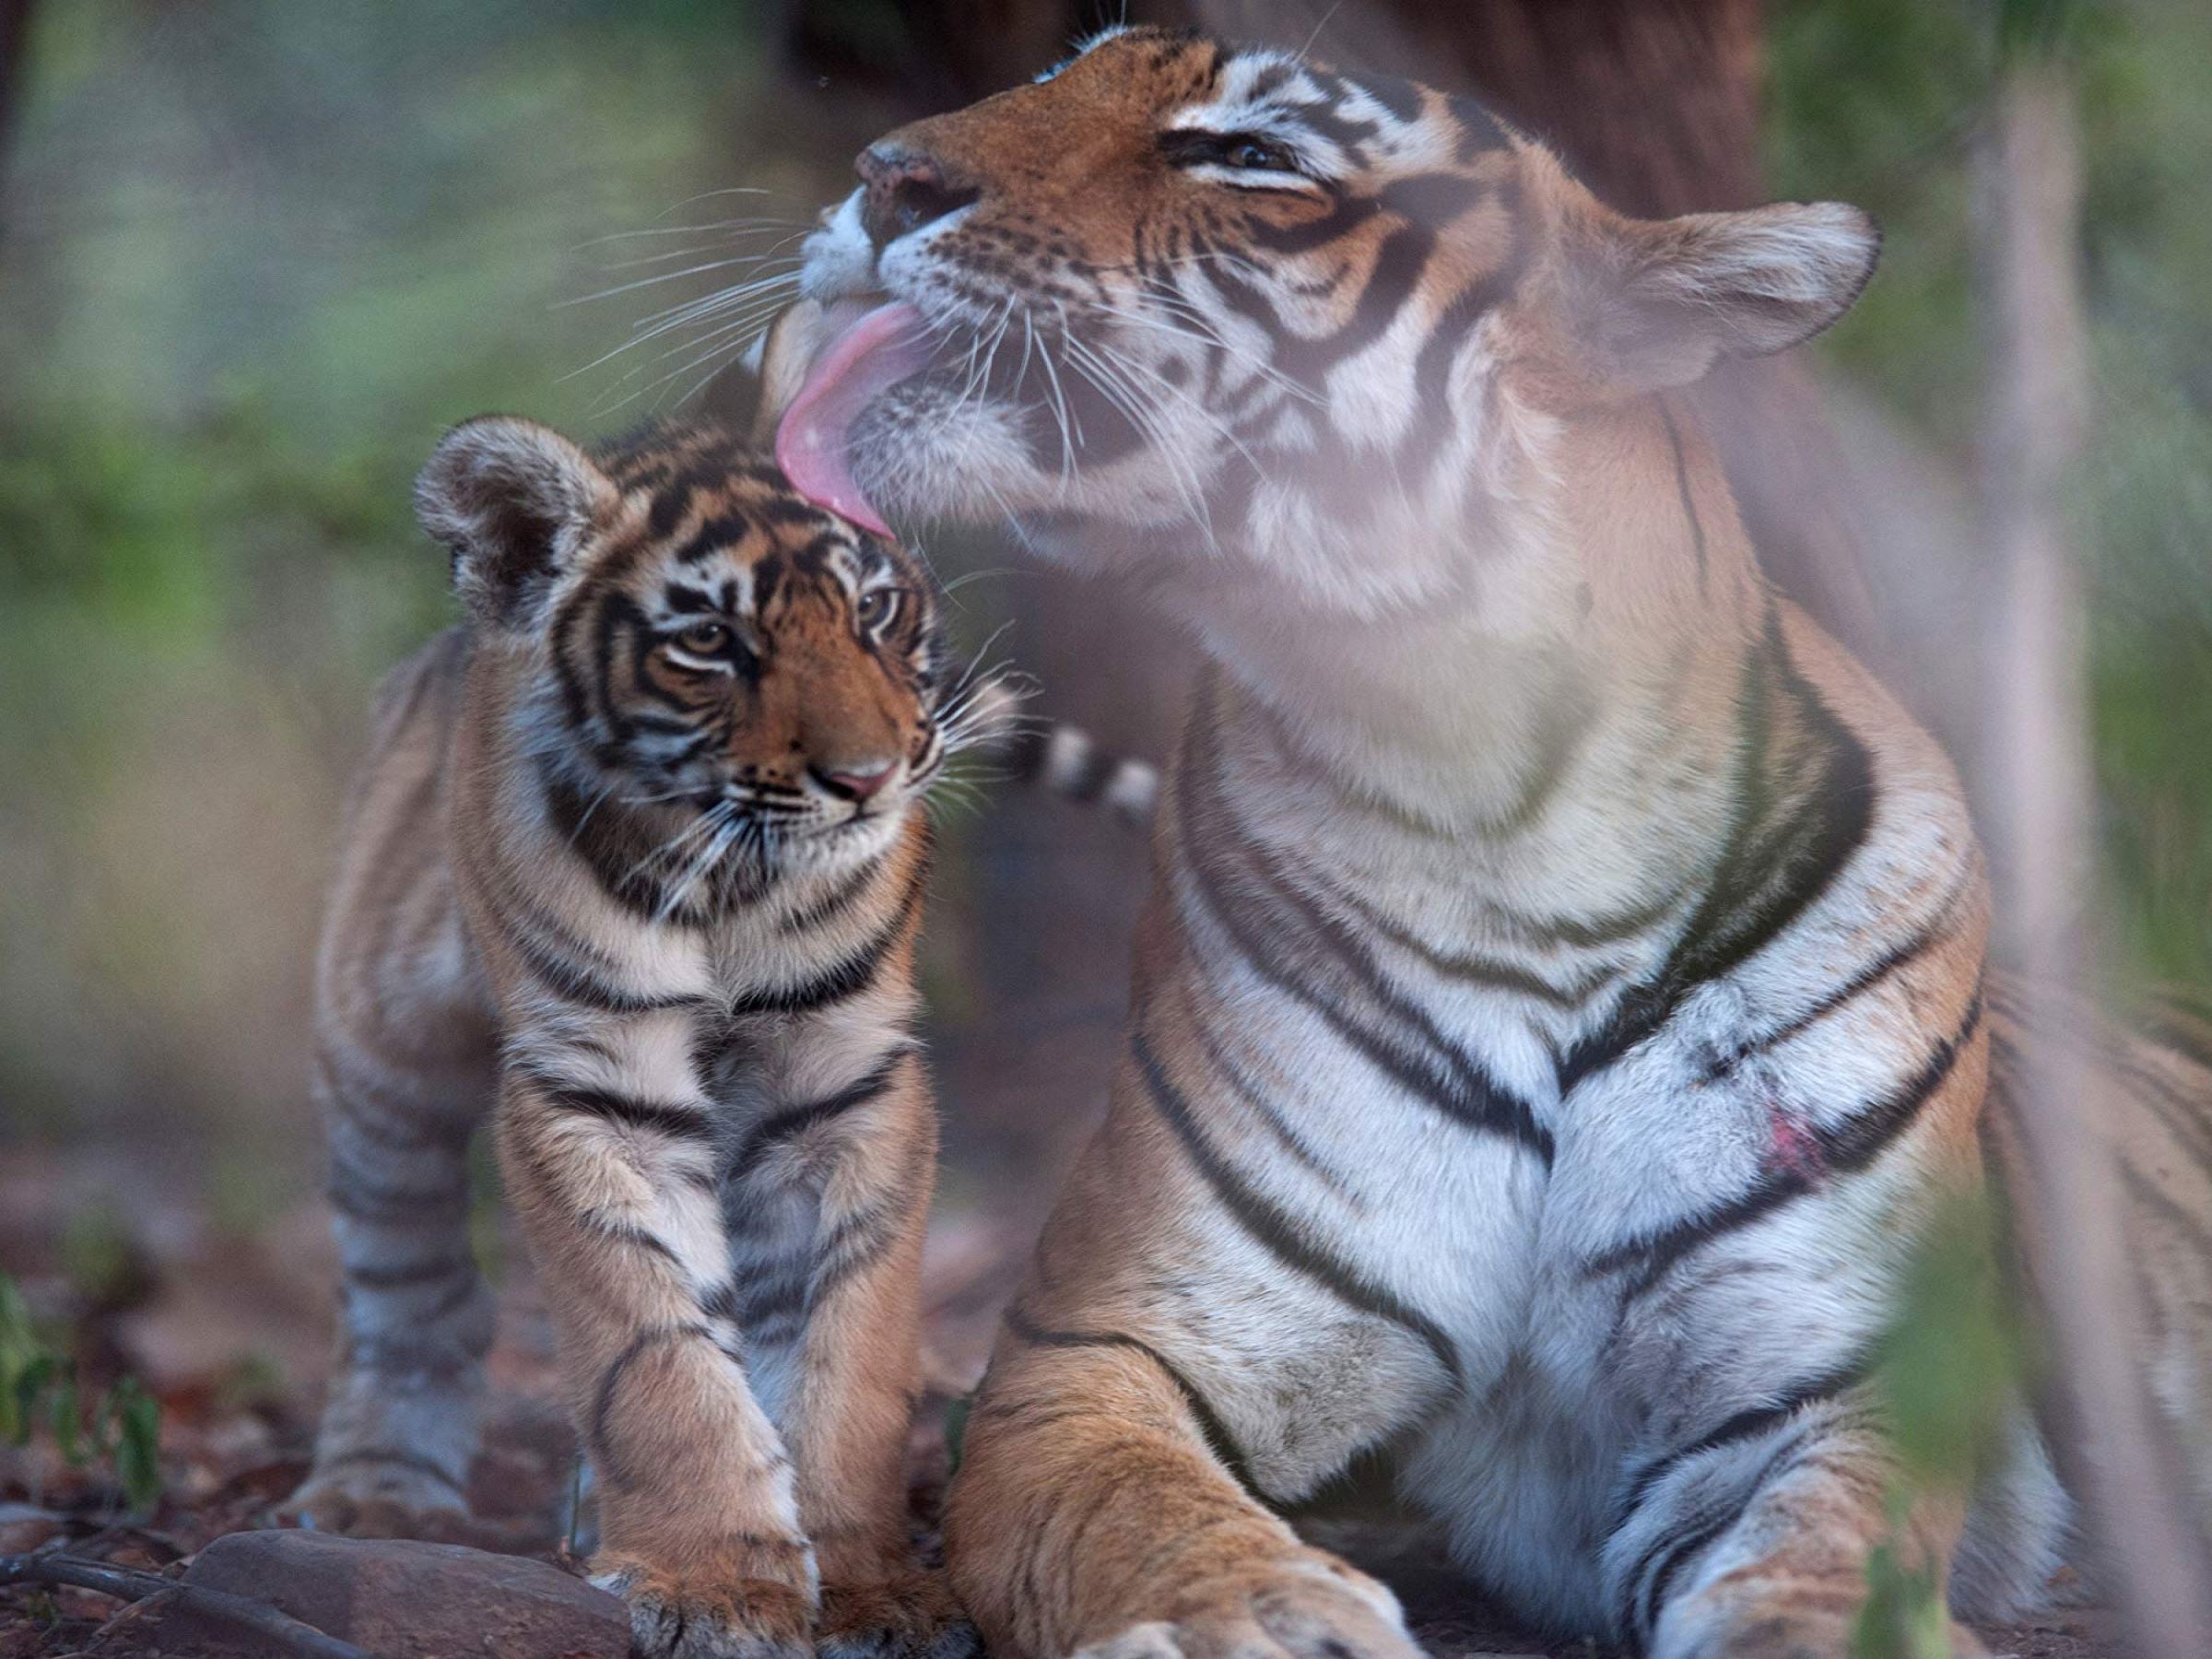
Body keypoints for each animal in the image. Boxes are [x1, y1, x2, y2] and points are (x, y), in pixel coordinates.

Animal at [752, 26, 2212, 1659]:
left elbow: (1818, 1583)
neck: (1494, 805)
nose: (883, 176)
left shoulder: (1822, 1394)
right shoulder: (1102, 1342)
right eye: (1067, 72)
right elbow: (1133, 1508)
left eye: (1251, 155)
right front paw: (1269, 1618)